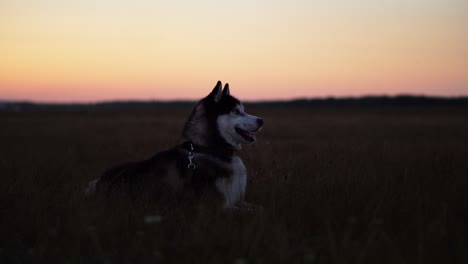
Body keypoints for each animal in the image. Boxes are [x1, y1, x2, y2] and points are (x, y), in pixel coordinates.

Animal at [85, 81, 264, 211]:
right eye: (236, 111)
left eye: (243, 110)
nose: (261, 121)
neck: (209, 150)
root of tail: (98, 181)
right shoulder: (217, 205)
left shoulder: (239, 200)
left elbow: (260, 208)